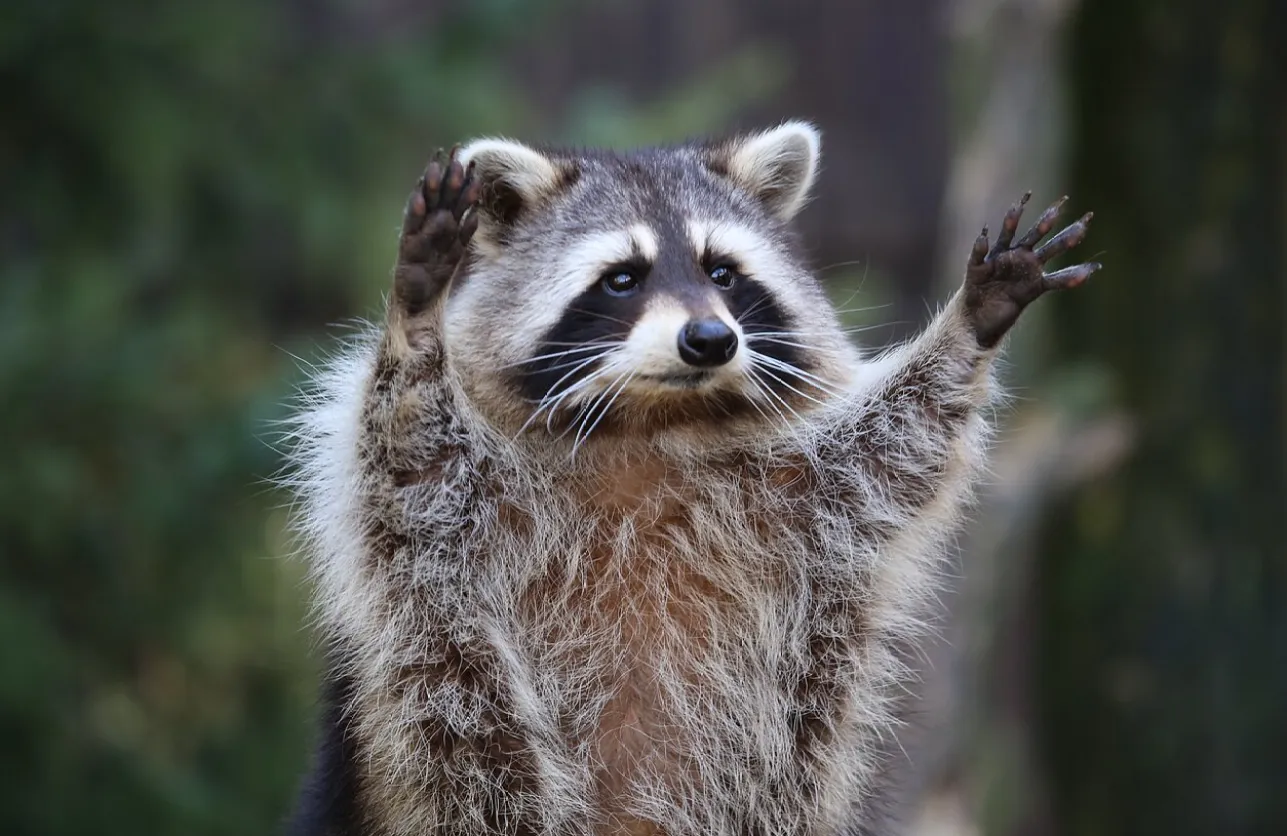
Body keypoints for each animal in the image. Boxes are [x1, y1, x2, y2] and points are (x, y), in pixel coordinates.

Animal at [284, 122, 1099, 836]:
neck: (654, 422)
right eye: (621, 279)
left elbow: (902, 442)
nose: (709, 339)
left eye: (722, 272)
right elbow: (409, 454)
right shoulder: (463, 506)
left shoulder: (806, 490)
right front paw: (417, 312)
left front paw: (969, 324)